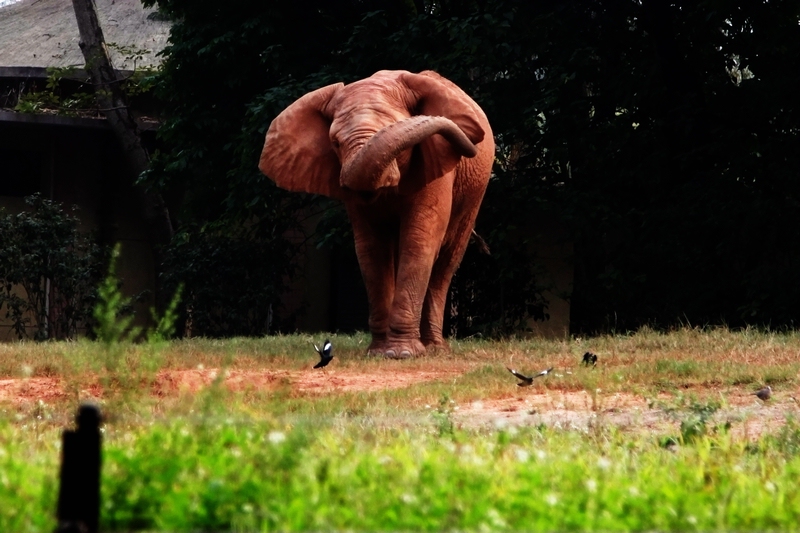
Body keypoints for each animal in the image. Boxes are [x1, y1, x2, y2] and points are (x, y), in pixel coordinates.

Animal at [259, 70, 494, 358]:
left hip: (474, 194)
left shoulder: (436, 160)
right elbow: (371, 248)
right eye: (335, 143)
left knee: (446, 261)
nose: (467, 144)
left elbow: (419, 240)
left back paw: (435, 349)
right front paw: (380, 352)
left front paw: (402, 354)